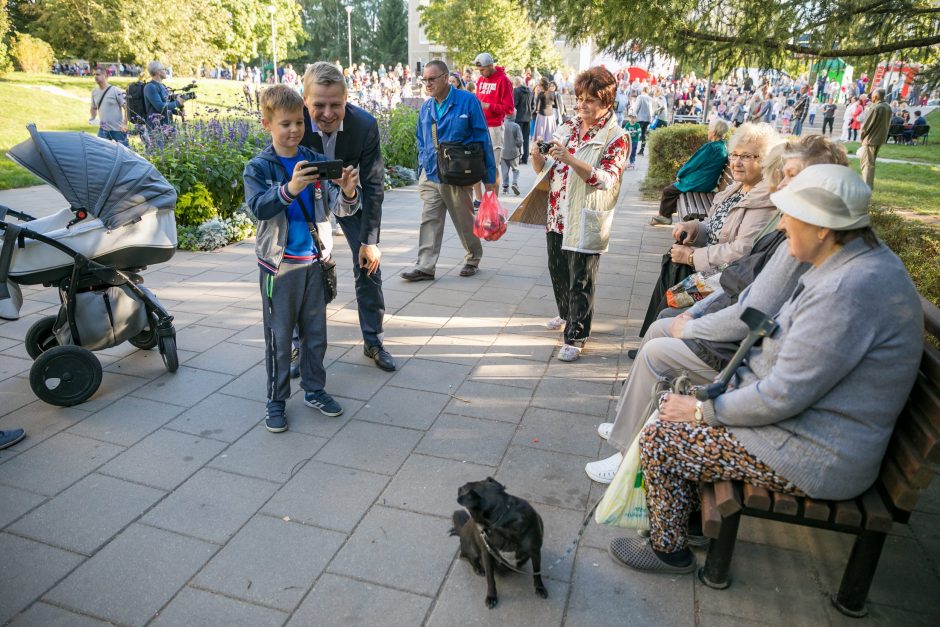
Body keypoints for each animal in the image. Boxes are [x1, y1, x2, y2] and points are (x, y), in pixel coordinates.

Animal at [450, 480, 548, 608]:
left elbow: (537, 572)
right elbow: (490, 578)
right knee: (468, 557)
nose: (458, 487)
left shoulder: (535, 551)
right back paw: (478, 568)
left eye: (462, 489)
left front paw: (539, 588)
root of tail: (462, 528)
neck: (502, 518)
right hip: (472, 549)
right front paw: (491, 596)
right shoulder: (487, 553)